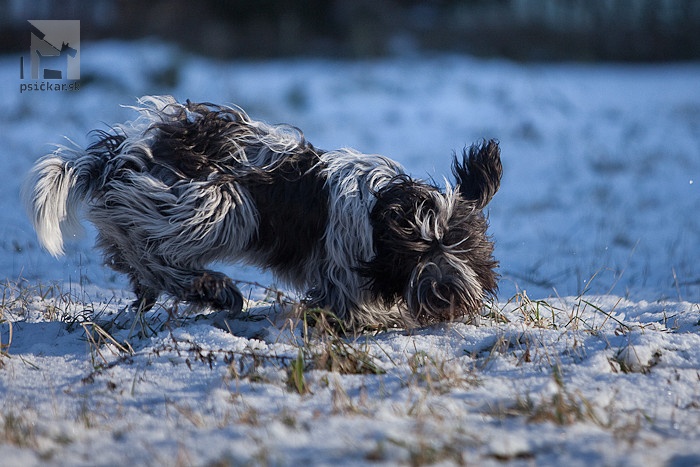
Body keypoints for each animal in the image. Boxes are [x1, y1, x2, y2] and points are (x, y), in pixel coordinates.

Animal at [23, 95, 504, 330]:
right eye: (416, 251)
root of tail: (121, 155)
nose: (445, 293)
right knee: (151, 248)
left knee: (128, 245)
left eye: (460, 246)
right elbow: (349, 306)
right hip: (216, 204)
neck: (379, 211)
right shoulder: (342, 270)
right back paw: (211, 288)